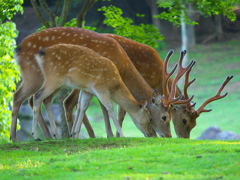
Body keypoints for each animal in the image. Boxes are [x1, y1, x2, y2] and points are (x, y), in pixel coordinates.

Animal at [11, 27, 191, 142]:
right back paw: (18, 137)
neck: (122, 65)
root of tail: (17, 50)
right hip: (35, 75)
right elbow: (107, 108)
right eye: (164, 116)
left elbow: (85, 107)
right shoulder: (98, 82)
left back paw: (51, 136)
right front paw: (112, 135)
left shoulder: (90, 86)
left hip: (54, 82)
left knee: (42, 99)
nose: (168, 136)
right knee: (21, 97)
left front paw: (77, 134)